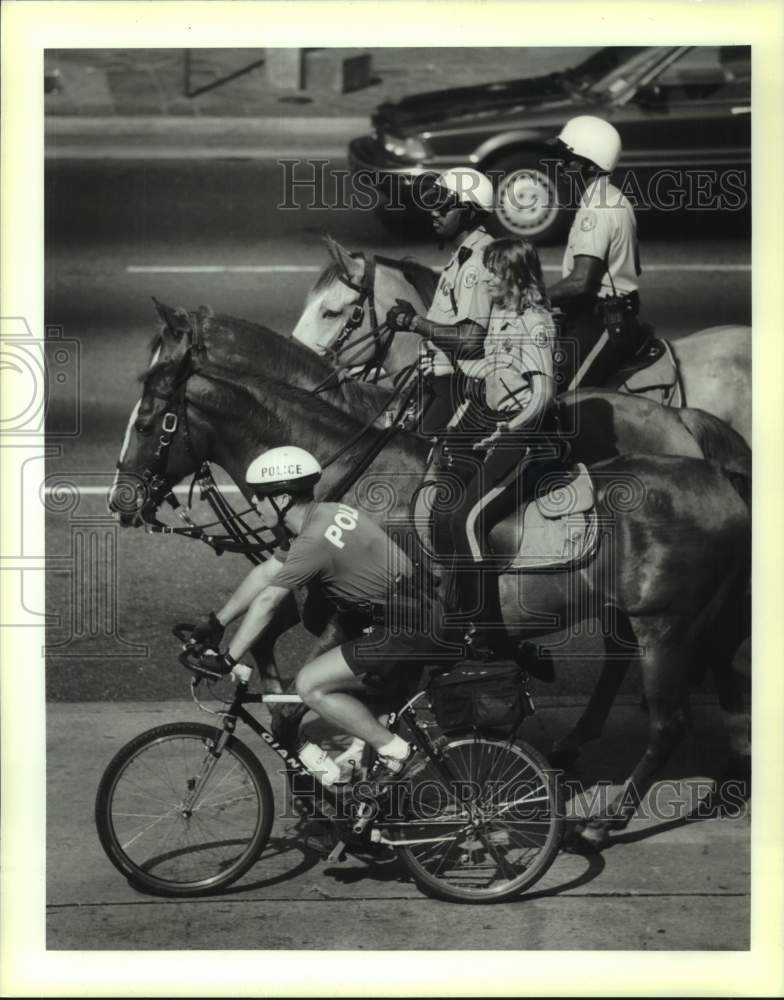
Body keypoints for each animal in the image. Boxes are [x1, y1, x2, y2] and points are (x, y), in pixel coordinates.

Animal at [108, 304, 748, 852]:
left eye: (150, 421)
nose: (121, 501)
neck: (344, 467)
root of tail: (715, 469)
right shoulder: (325, 598)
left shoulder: (353, 613)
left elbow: (305, 703)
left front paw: (331, 798)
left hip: (663, 626)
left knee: (668, 722)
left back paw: (604, 820)